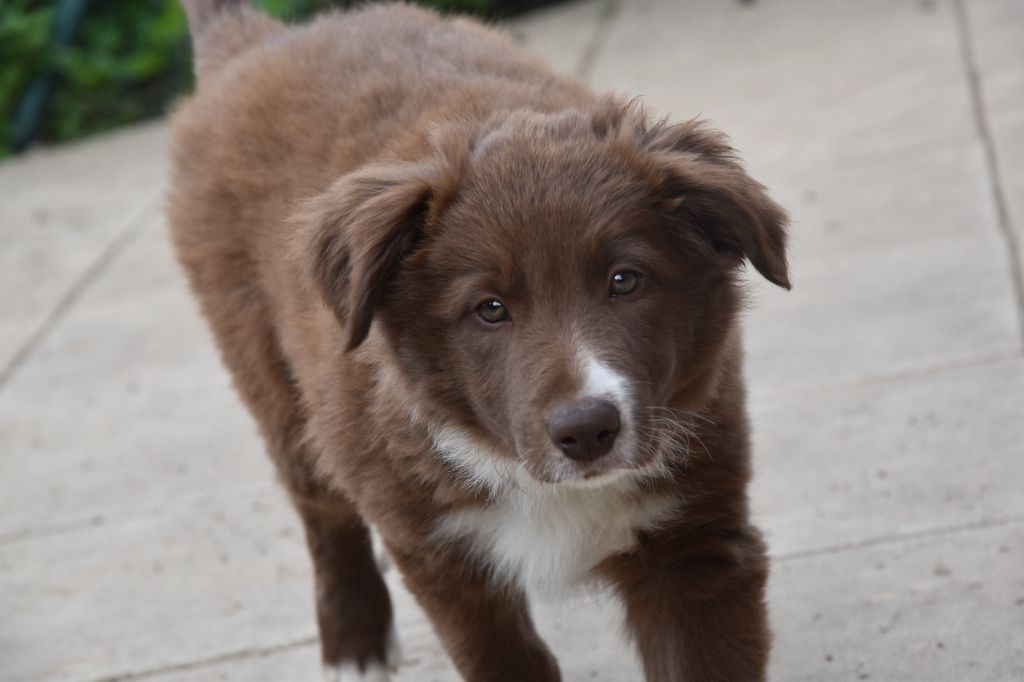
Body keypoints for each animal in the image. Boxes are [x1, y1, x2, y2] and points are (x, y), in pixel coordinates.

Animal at [168, 1, 790, 680]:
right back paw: (354, 647)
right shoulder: (443, 557)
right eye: (490, 310)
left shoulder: (694, 542)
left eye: (625, 280)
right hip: (271, 377)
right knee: (321, 510)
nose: (586, 431)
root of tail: (261, 39)